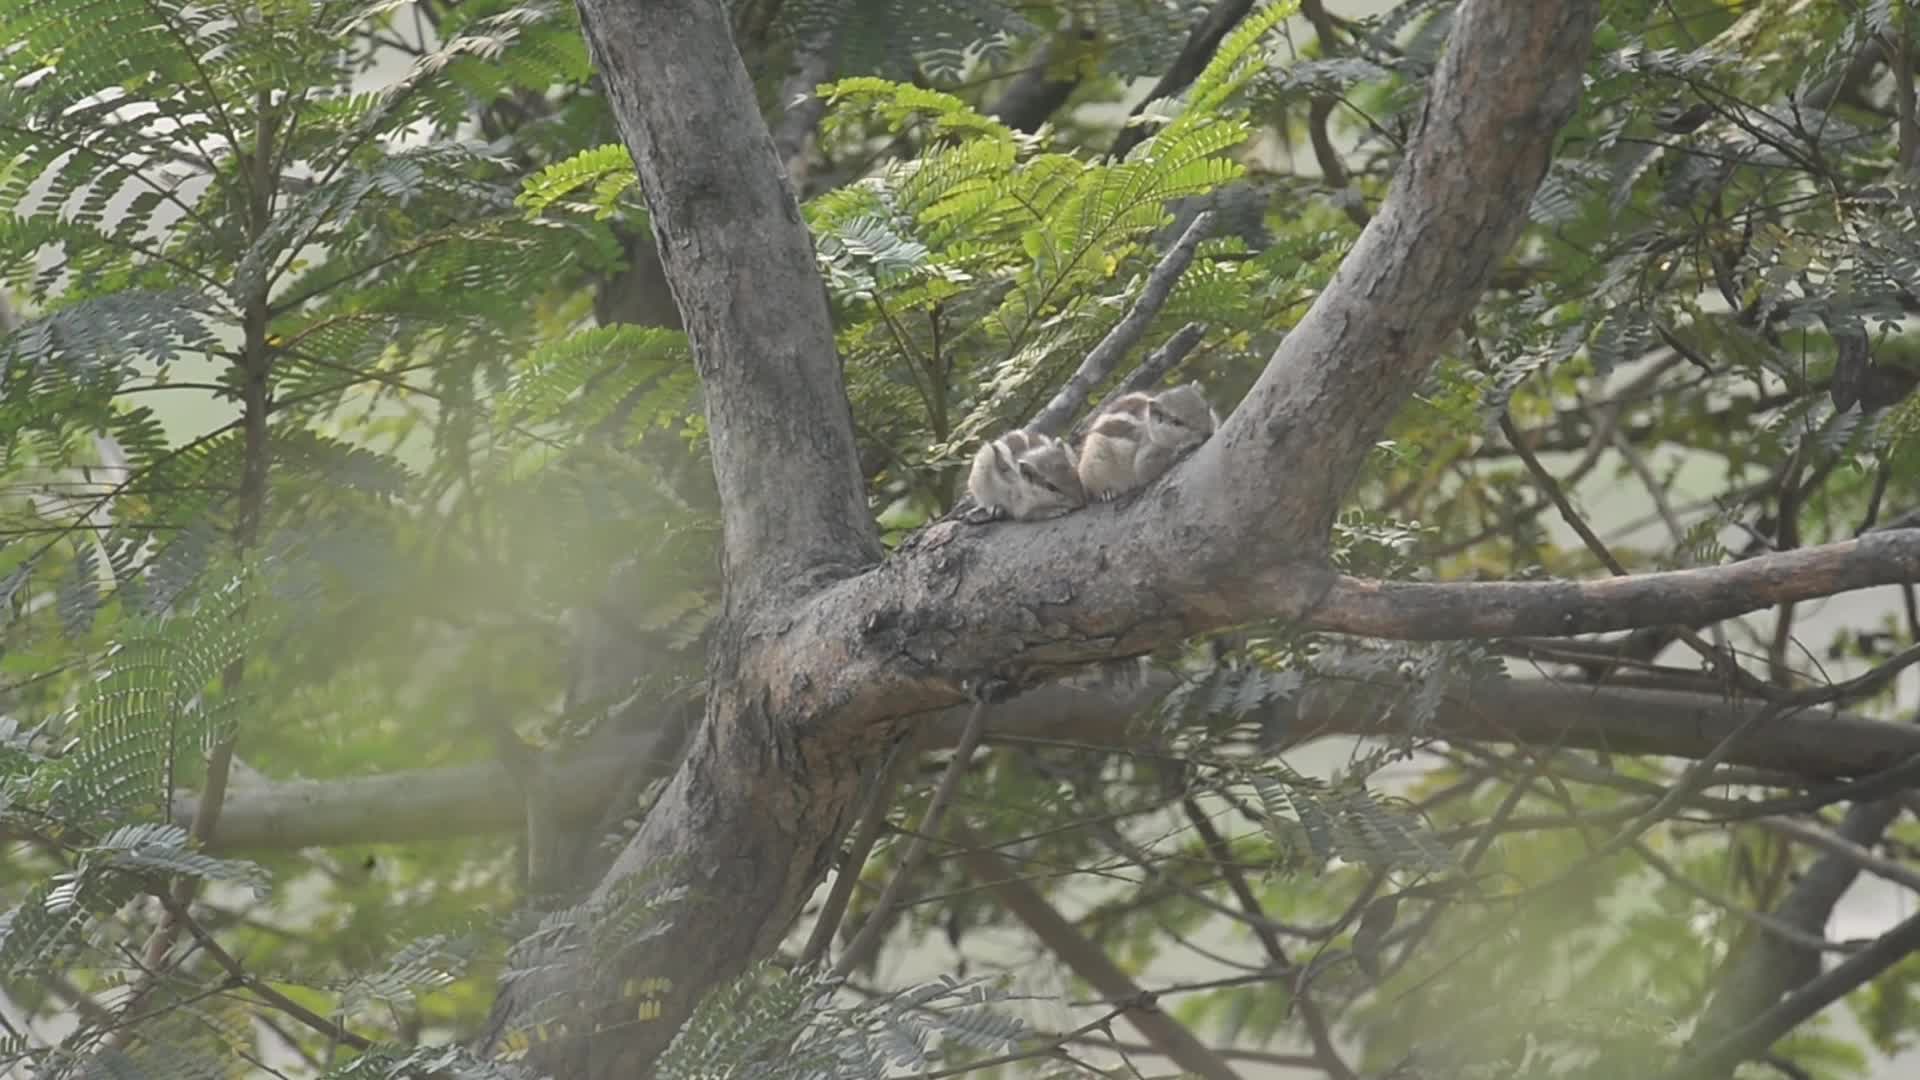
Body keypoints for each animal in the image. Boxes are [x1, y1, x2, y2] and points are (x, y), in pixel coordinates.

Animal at [1076, 382, 1218, 501]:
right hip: (1095, 462)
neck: (1151, 429)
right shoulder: (1145, 456)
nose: (1208, 433)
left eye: (1207, 408)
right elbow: (1147, 468)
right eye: (1177, 422)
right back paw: (1107, 492)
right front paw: (1184, 446)